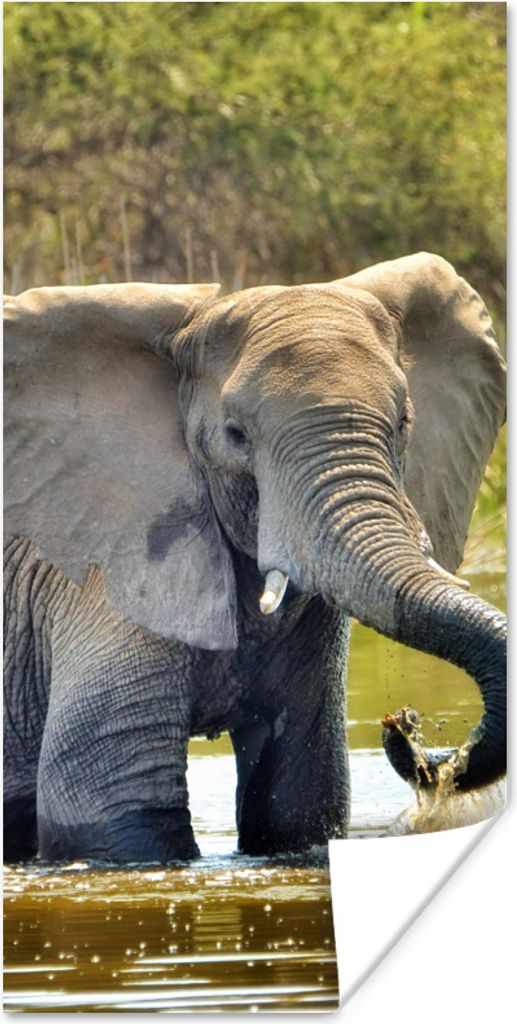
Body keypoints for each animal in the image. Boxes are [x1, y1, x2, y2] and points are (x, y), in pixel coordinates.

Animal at [4, 252, 506, 865]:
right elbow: (115, 810)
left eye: (405, 423)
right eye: (235, 435)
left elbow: (298, 802)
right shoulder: (102, 572)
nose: (402, 723)